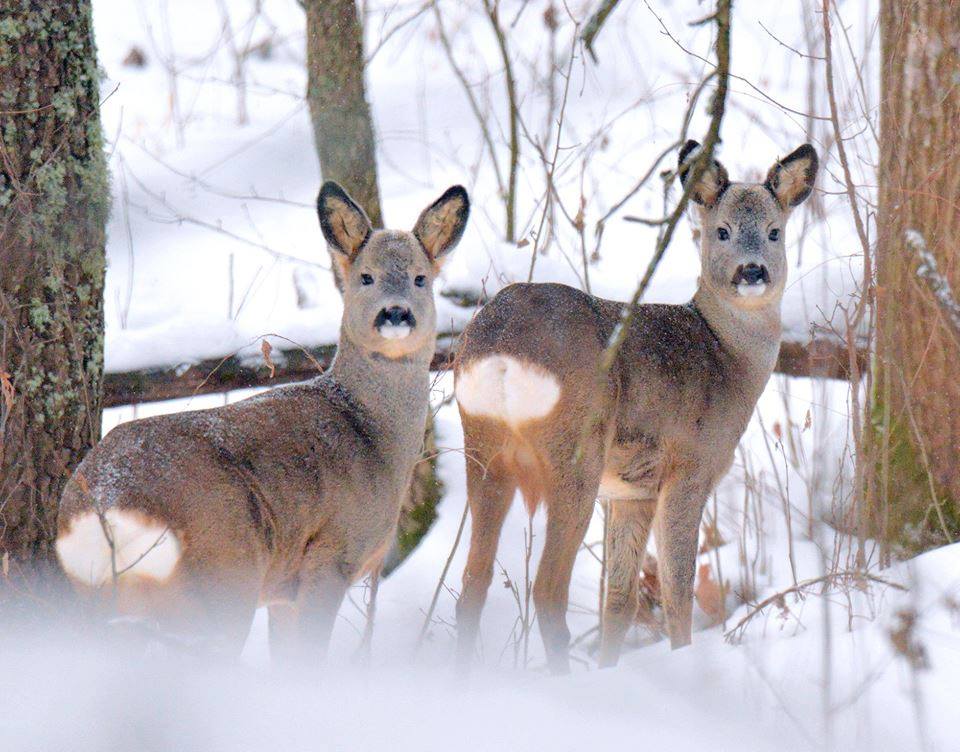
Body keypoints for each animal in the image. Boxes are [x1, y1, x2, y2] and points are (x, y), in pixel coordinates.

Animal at [56, 182, 468, 668]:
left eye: (421, 278)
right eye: (365, 276)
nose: (396, 313)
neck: (371, 432)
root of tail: (104, 506)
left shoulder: (283, 590)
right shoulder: (330, 554)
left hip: (102, 600)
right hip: (222, 580)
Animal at [454, 138, 812, 672]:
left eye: (775, 231)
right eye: (721, 230)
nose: (752, 271)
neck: (725, 357)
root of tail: (501, 349)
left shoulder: (631, 491)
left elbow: (619, 602)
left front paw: (611, 668)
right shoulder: (690, 467)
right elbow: (678, 591)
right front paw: (682, 659)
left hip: (482, 447)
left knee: (472, 586)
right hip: (574, 453)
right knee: (547, 589)